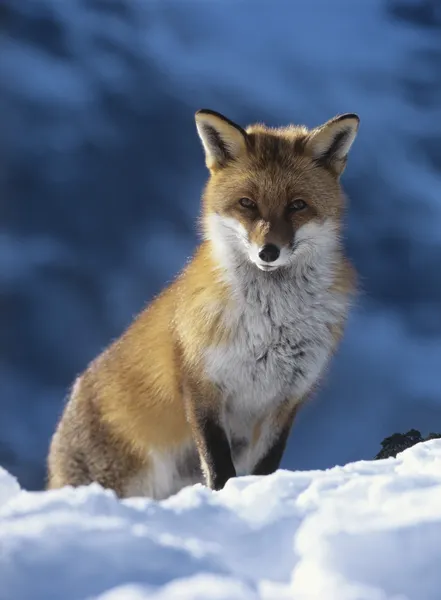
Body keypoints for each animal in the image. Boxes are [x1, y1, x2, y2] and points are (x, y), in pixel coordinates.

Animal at [47, 109, 358, 502]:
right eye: (247, 203)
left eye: (297, 205)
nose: (268, 252)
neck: (271, 327)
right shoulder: (202, 386)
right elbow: (218, 465)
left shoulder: (286, 401)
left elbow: (265, 467)